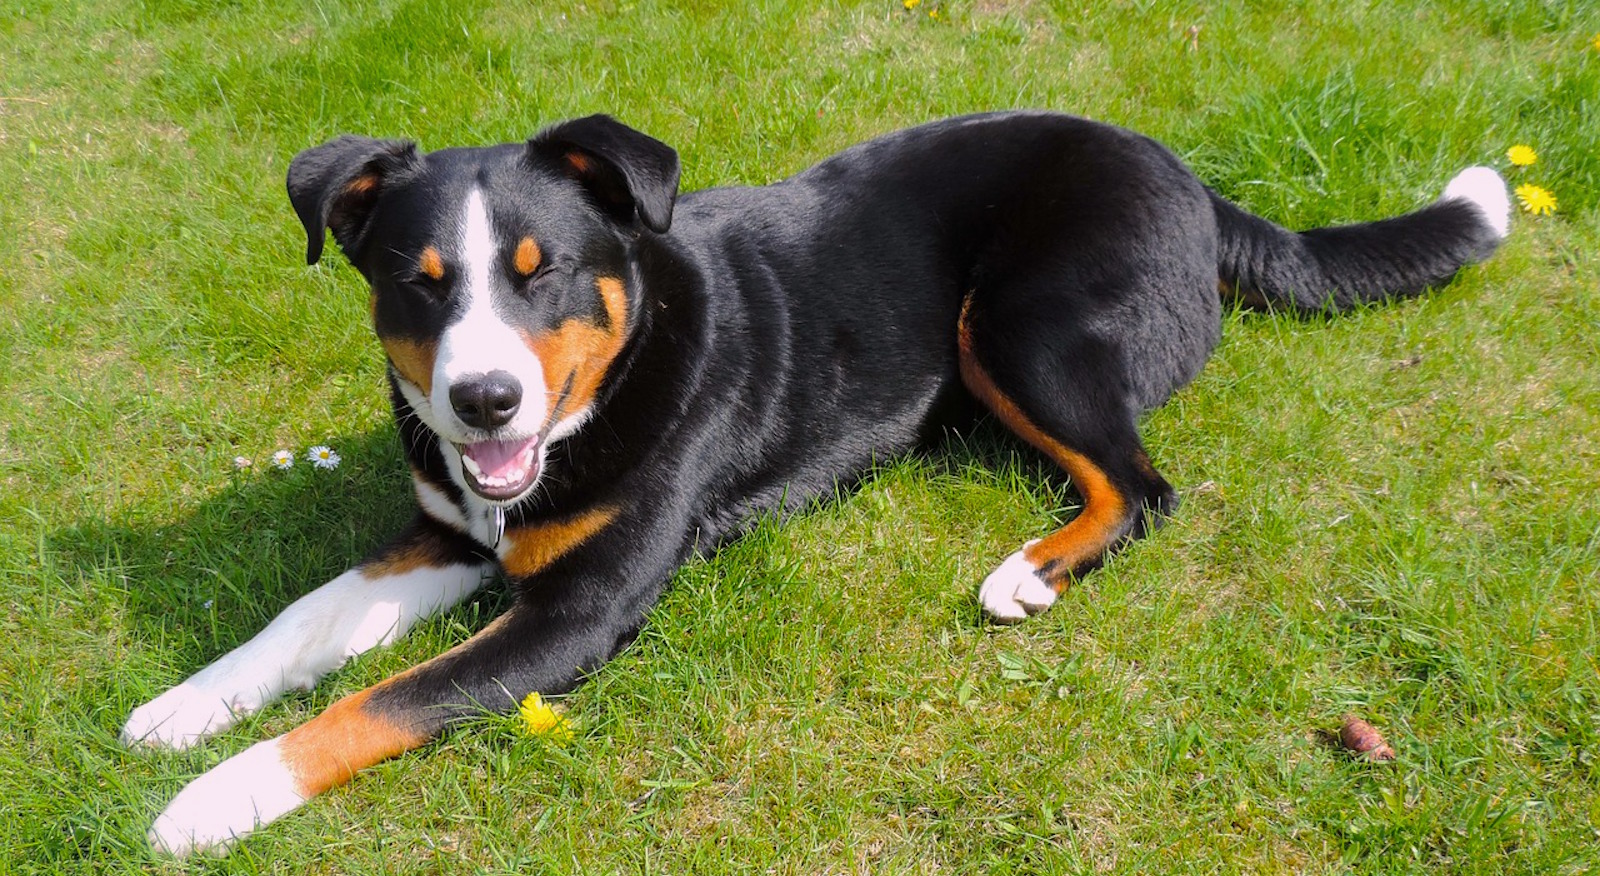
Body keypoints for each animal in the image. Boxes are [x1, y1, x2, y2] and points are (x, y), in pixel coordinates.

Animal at [124, 111, 1510, 856]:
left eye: (543, 271)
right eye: (417, 284)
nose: (483, 402)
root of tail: (1177, 170)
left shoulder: (578, 612)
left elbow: (379, 704)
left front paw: (213, 801)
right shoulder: (451, 533)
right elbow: (303, 623)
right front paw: (185, 711)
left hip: (1022, 320)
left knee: (1141, 485)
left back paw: (1029, 572)